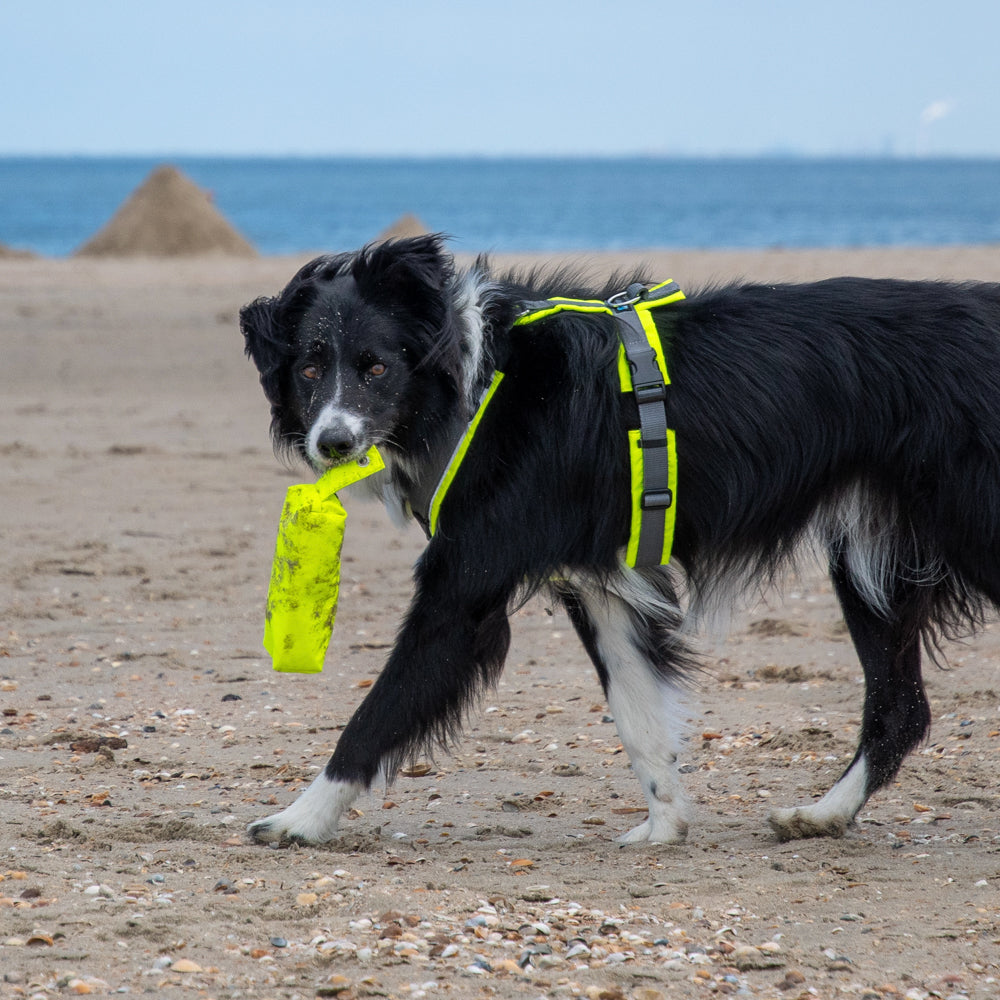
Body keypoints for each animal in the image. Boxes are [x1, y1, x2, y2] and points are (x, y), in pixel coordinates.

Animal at [240, 234, 1000, 844]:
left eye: (375, 367)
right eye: (309, 369)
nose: (333, 444)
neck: (476, 384)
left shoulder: (464, 586)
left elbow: (376, 712)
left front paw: (298, 820)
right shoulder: (602, 582)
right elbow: (638, 715)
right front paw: (665, 826)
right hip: (873, 554)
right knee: (902, 708)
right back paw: (822, 815)